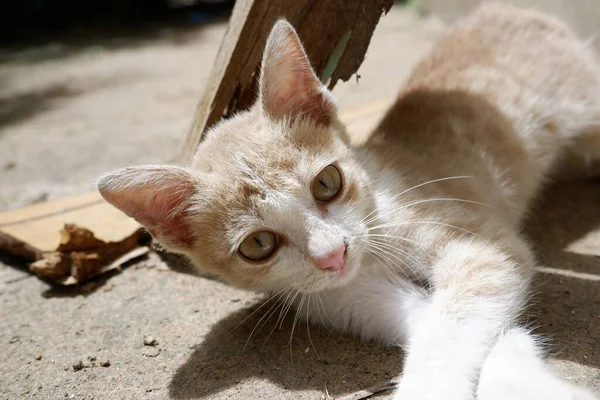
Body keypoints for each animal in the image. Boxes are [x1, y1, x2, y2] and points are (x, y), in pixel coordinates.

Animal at [99, 3, 600, 400]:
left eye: (327, 183)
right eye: (258, 245)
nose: (333, 254)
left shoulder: (480, 241)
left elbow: (456, 315)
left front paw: (434, 386)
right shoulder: (334, 295)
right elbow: (422, 314)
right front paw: (517, 362)